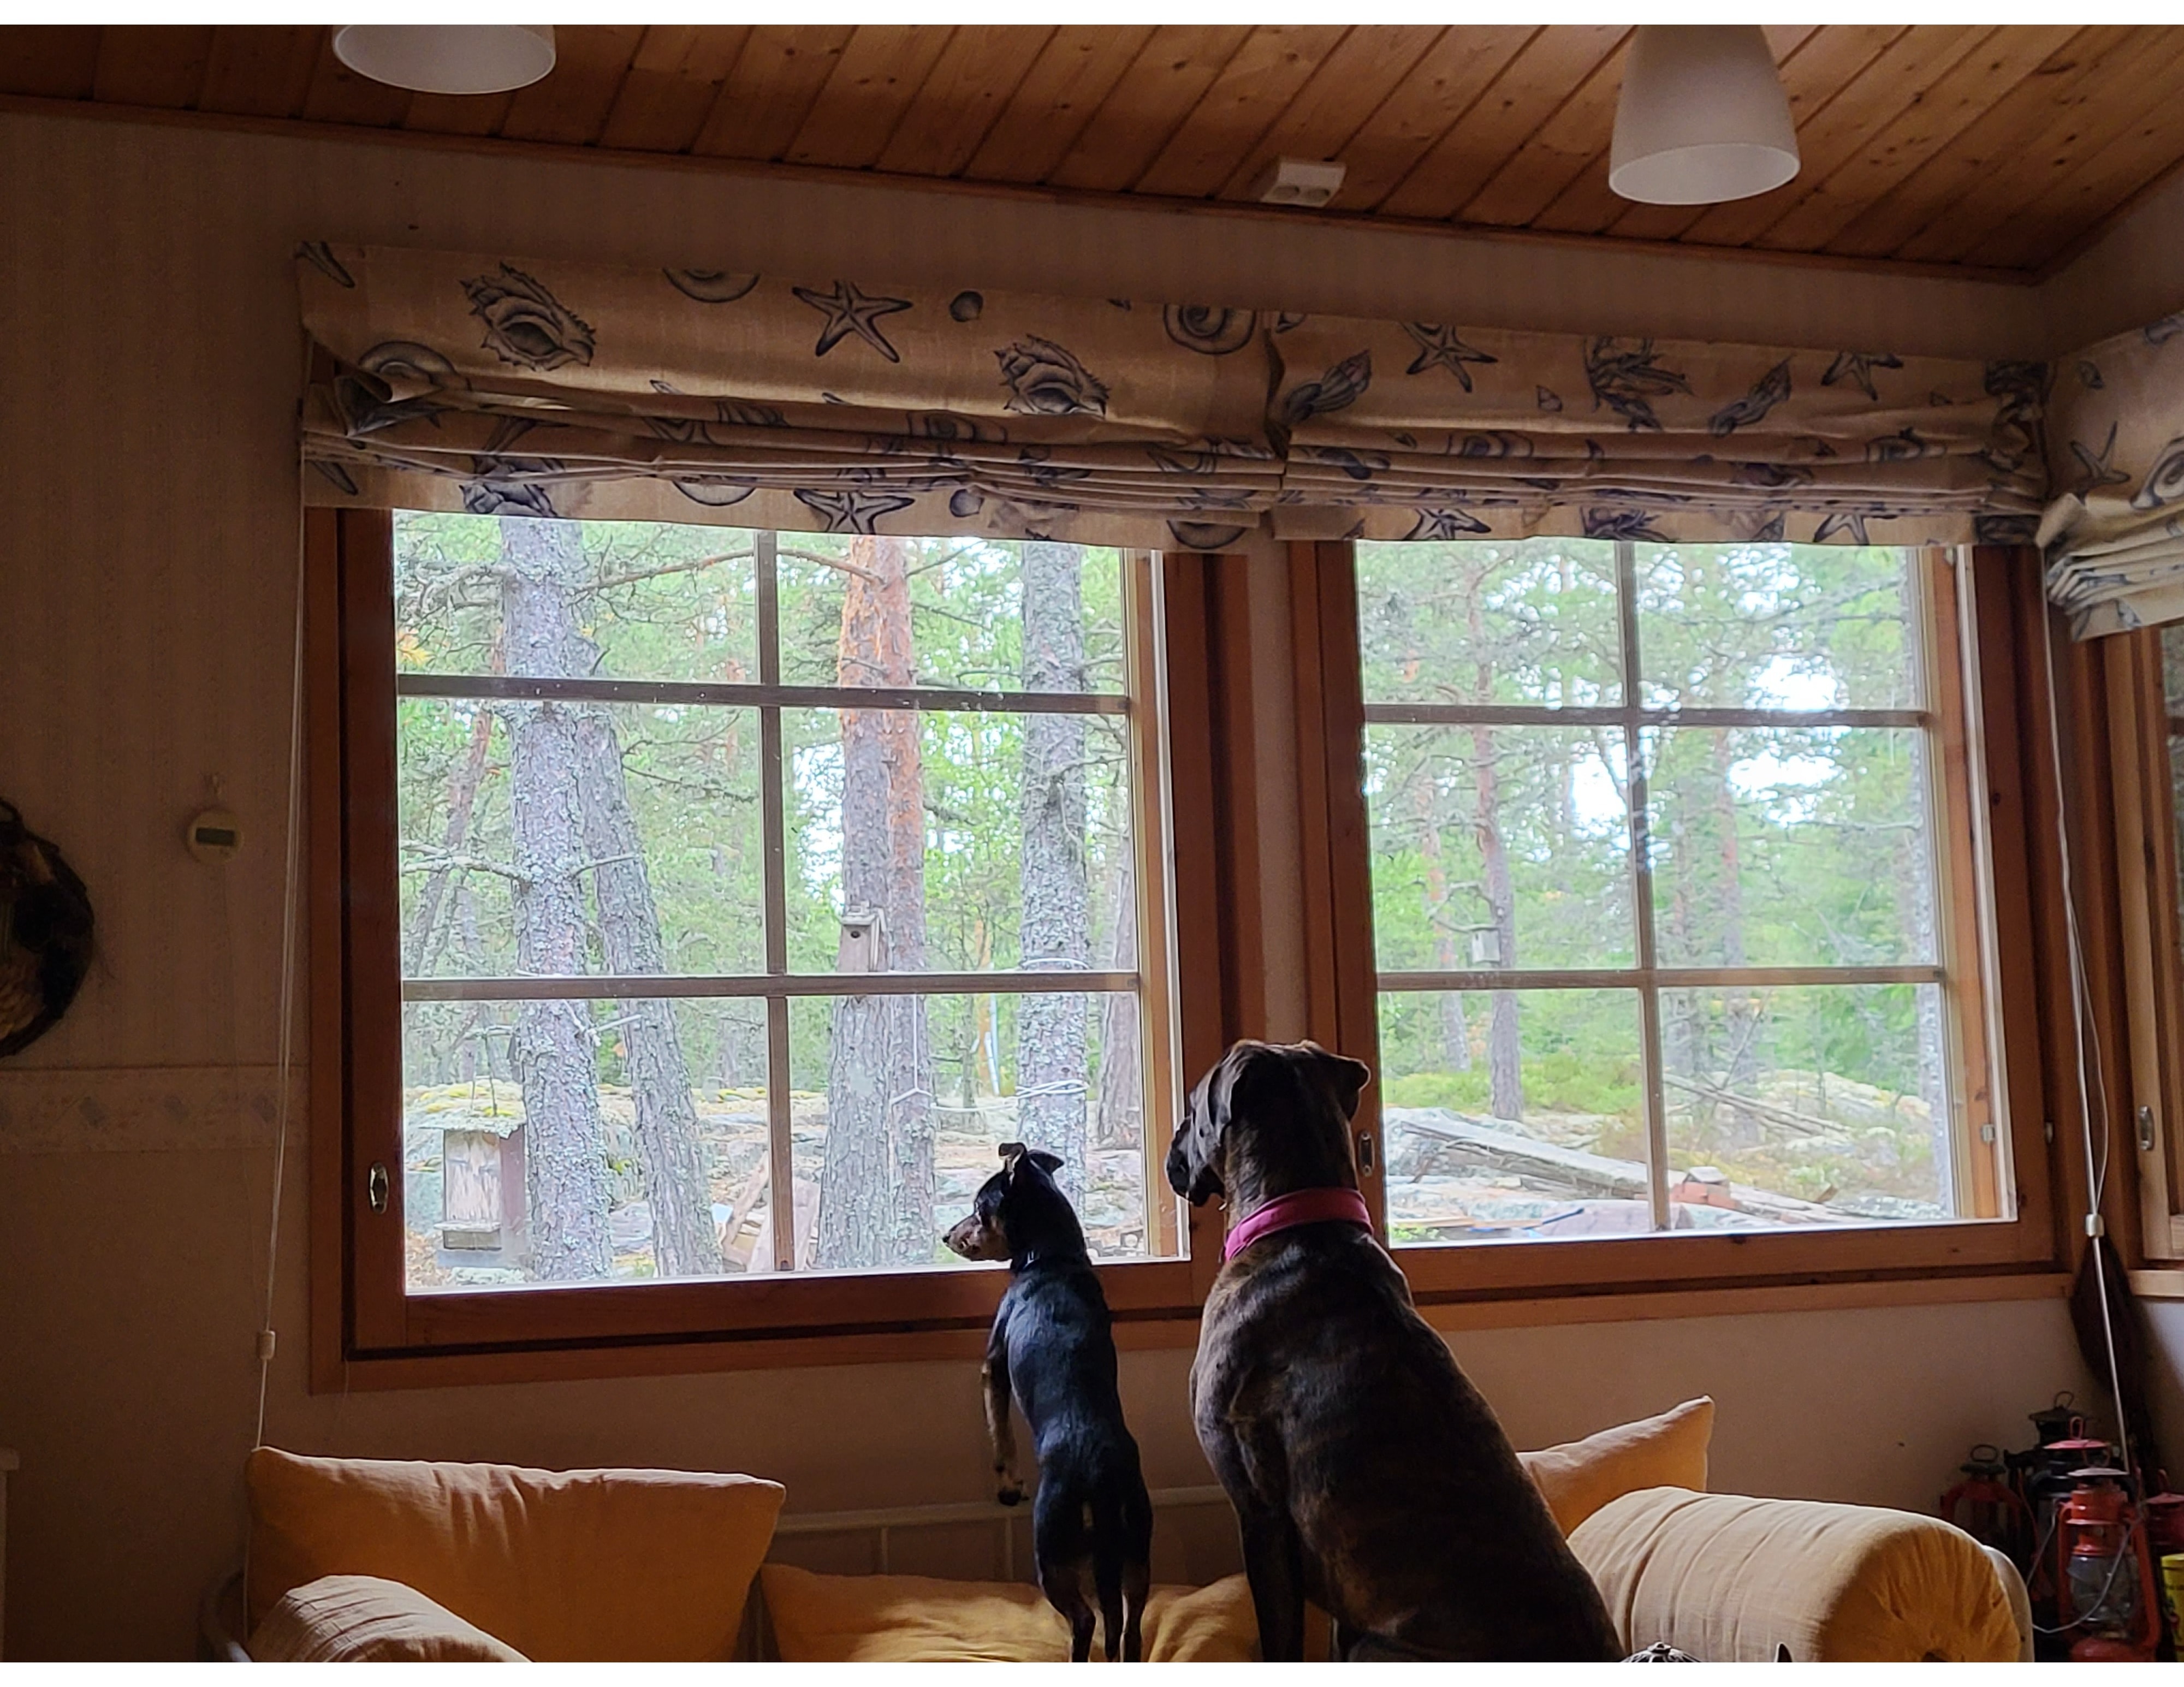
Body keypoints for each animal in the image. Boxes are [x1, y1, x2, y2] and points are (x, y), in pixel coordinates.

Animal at [945, 1143, 1155, 1662]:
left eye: (979, 1209)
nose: (946, 1235)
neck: (1051, 1256)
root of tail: (1100, 1478)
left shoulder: (993, 1368)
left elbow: (999, 1430)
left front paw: (1008, 1484)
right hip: (1137, 1549)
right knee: (1131, 1628)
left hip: (1053, 1549)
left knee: (1085, 1619)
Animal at [1166, 1040, 1623, 1662]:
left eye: (1193, 1106)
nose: (1172, 1149)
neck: (1305, 1225)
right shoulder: (1342, 1592)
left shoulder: (1260, 1518)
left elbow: (1279, 1639)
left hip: (1378, 1644)